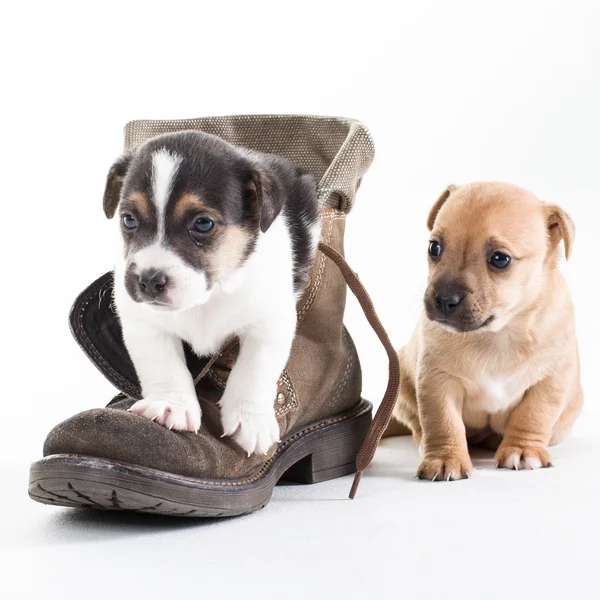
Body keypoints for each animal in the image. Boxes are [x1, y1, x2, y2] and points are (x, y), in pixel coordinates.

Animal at [101, 131, 322, 454]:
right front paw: (170, 406)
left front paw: (250, 420)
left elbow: (253, 372)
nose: (149, 281)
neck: (208, 297)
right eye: (129, 219)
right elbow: (163, 365)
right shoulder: (143, 322)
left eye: (203, 224)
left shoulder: (269, 323)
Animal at [386, 180, 584, 480]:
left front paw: (522, 450)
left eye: (500, 259)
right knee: (418, 426)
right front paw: (445, 458)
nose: (444, 299)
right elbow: (443, 422)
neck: (497, 334)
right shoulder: (437, 381)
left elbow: (533, 415)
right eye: (434, 248)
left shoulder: (550, 380)